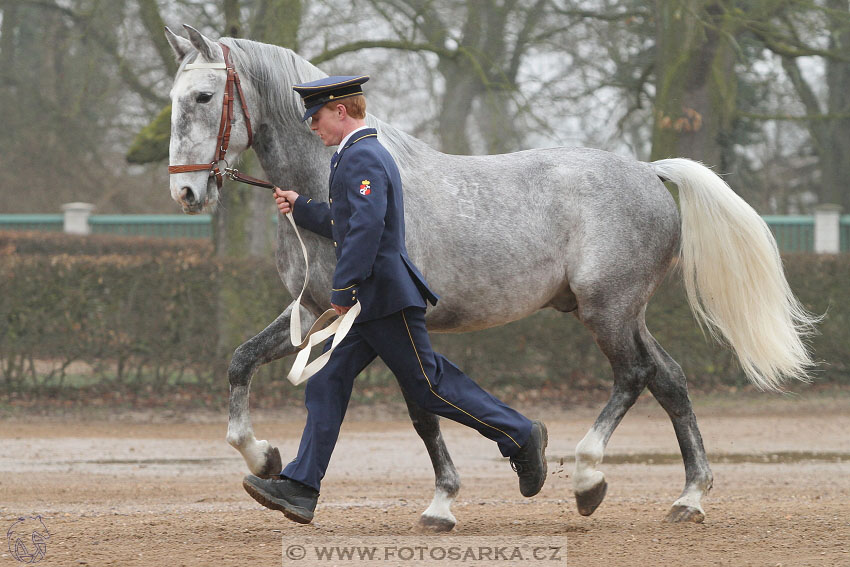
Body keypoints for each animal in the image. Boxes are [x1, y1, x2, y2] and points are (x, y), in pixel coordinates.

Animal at [166, 26, 816, 532]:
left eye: (203, 95)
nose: (186, 192)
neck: (327, 187)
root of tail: (648, 171)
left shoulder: (389, 319)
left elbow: (424, 406)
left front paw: (442, 504)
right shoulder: (321, 311)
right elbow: (242, 361)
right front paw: (265, 461)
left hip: (608, 309)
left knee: (633, 377)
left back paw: (587, 476)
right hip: (618, 311)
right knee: (671, 380)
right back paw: (689, 498)